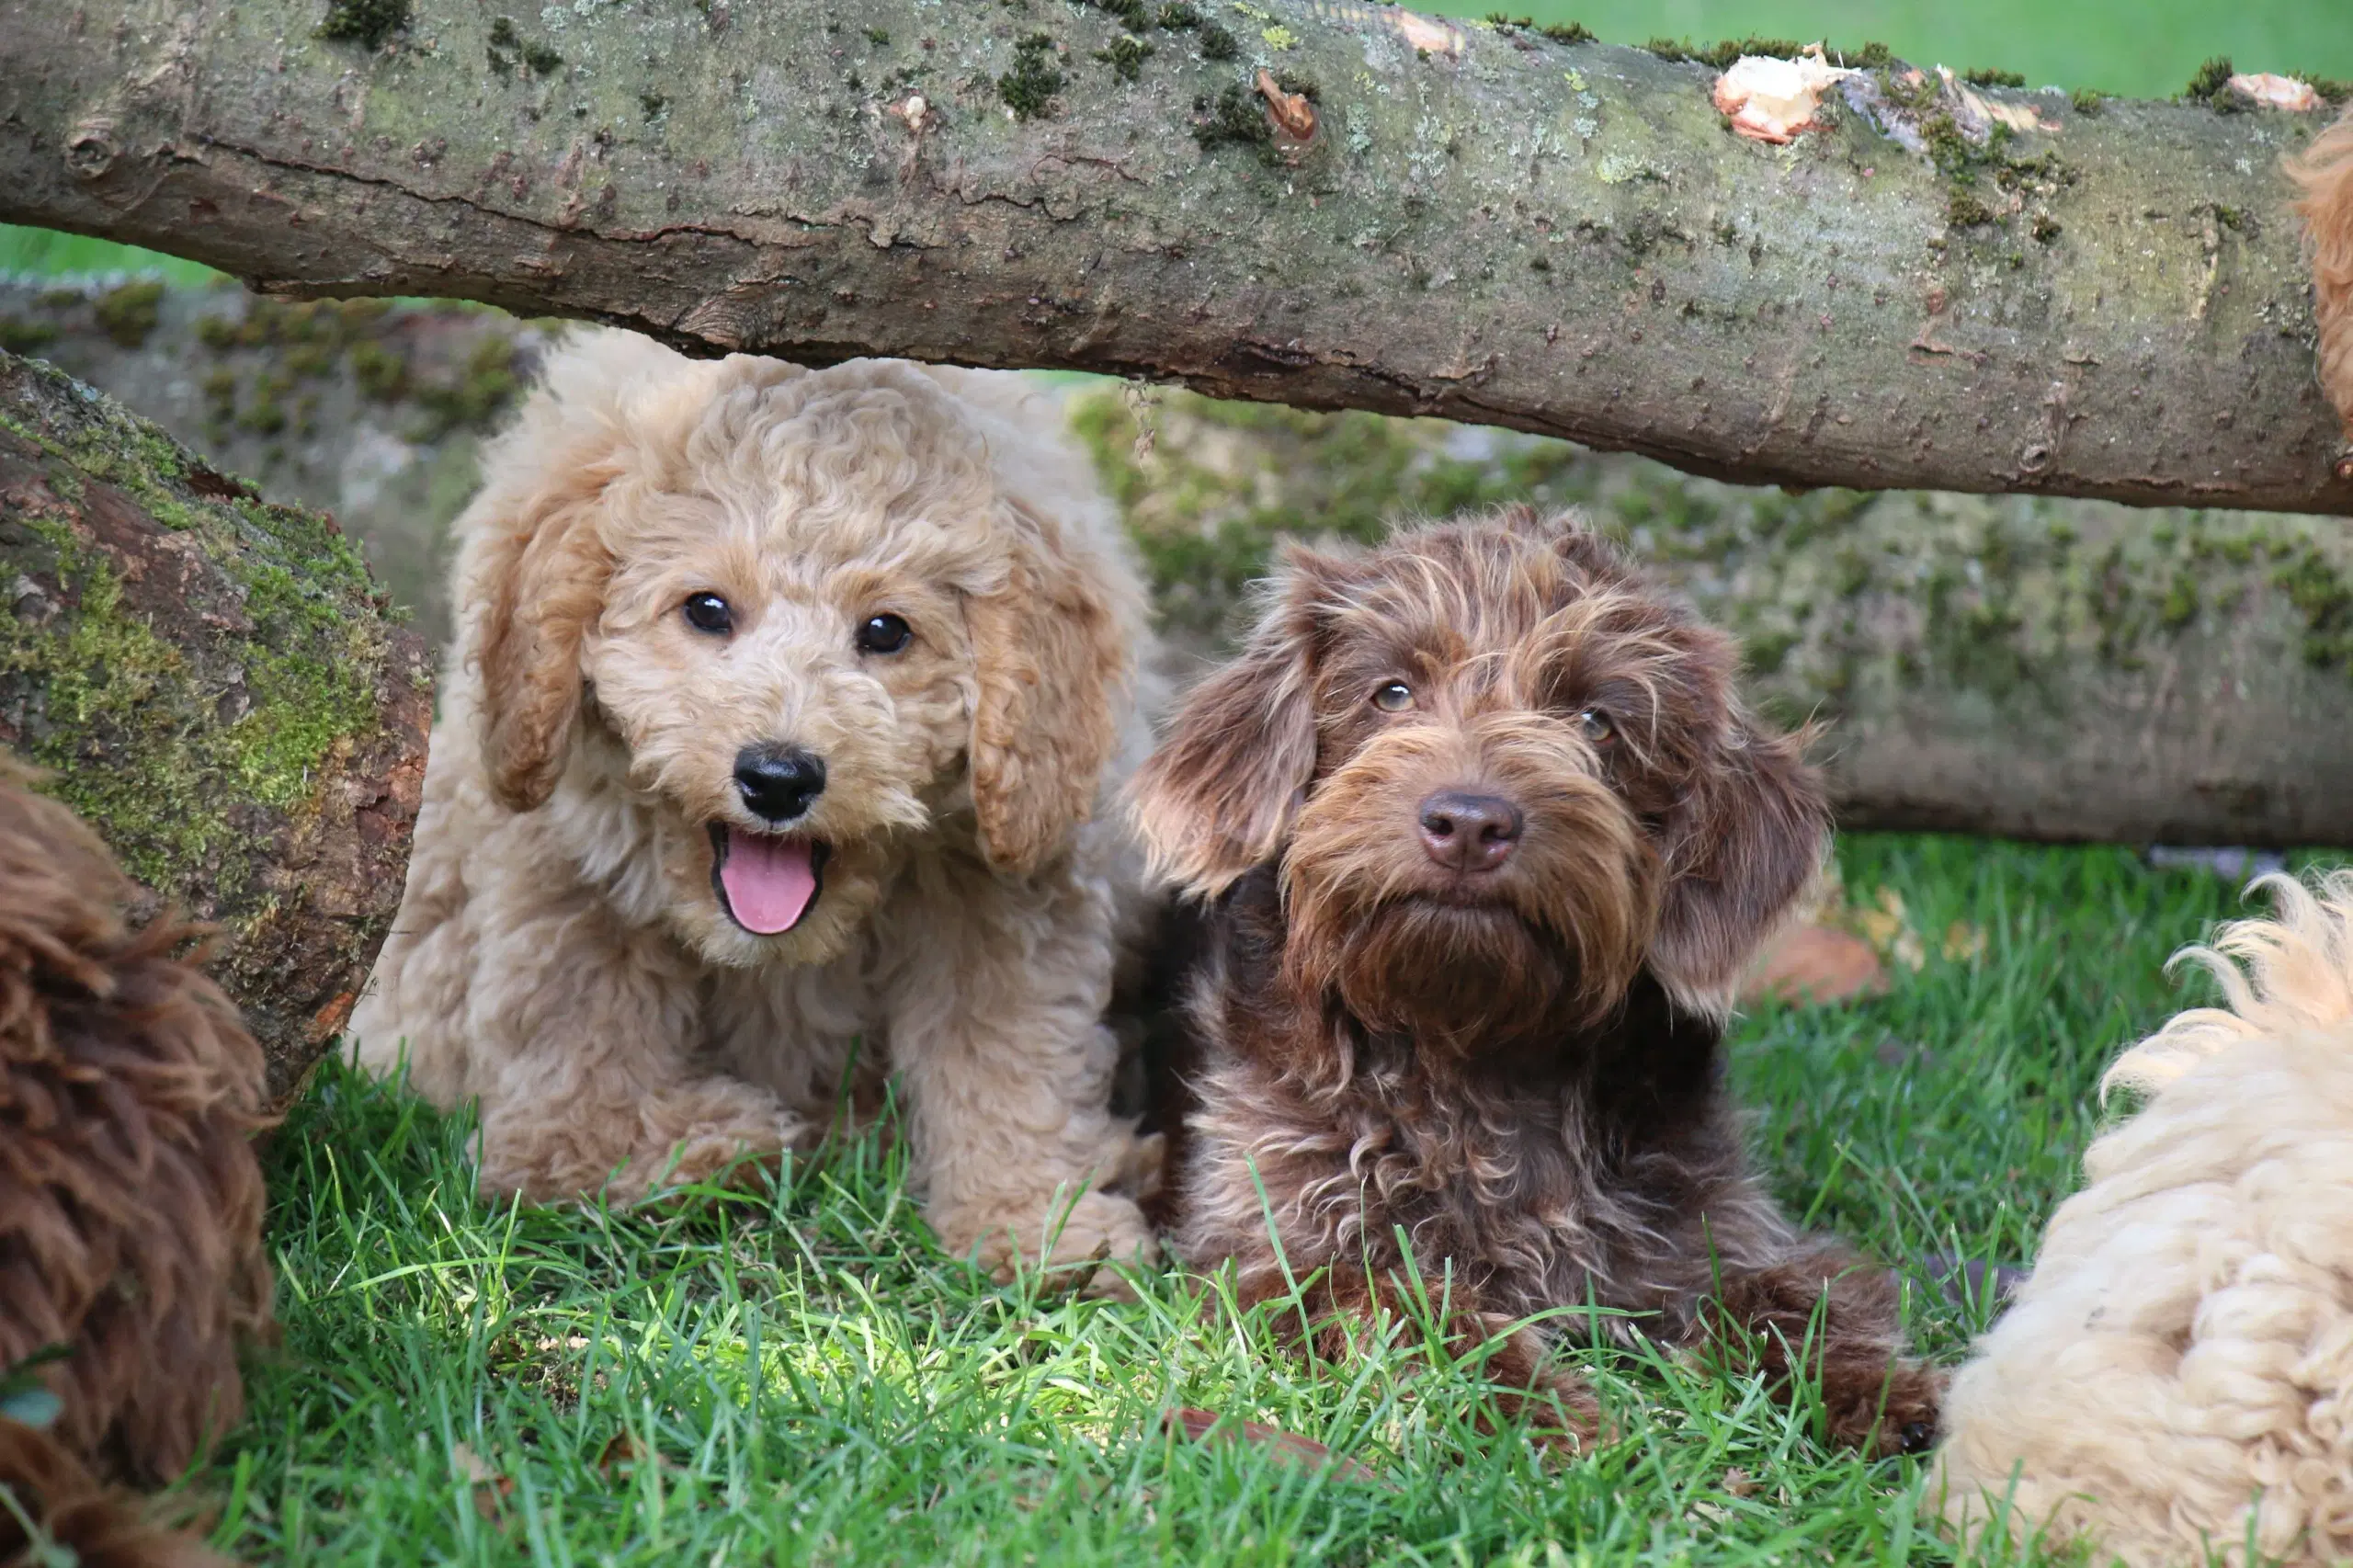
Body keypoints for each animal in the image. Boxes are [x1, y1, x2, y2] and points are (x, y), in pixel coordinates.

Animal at [347, 327, 1157, 1280]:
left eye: (886, 631)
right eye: (706, 608)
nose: (777, 778)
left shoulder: (1003, 888)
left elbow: (1007, 1049)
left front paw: (1040, 1222)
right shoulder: (562, 888)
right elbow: (567, 1127)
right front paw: (722, 1139)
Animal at [1129, 513, 1938, 1449]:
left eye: (1596, 720)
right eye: (1392, 692)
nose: (1470, 822)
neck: (1471, 1047)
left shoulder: (1711, 1228)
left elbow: (1794, 1291)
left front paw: (1875, 1389)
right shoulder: (1271, 1254)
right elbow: (1400, 1300)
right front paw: (1546, 1415)